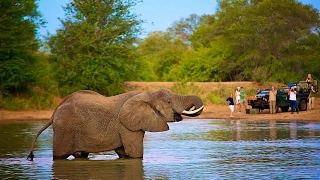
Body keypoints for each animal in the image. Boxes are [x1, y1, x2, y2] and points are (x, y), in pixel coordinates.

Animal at [26, 88, 202, 160]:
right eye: (168, 102)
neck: (145, 94)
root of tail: (54, 112)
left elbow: (124, 153)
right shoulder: (126, 125)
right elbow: (135, 153)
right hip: (64, 130)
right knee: (59, 156)